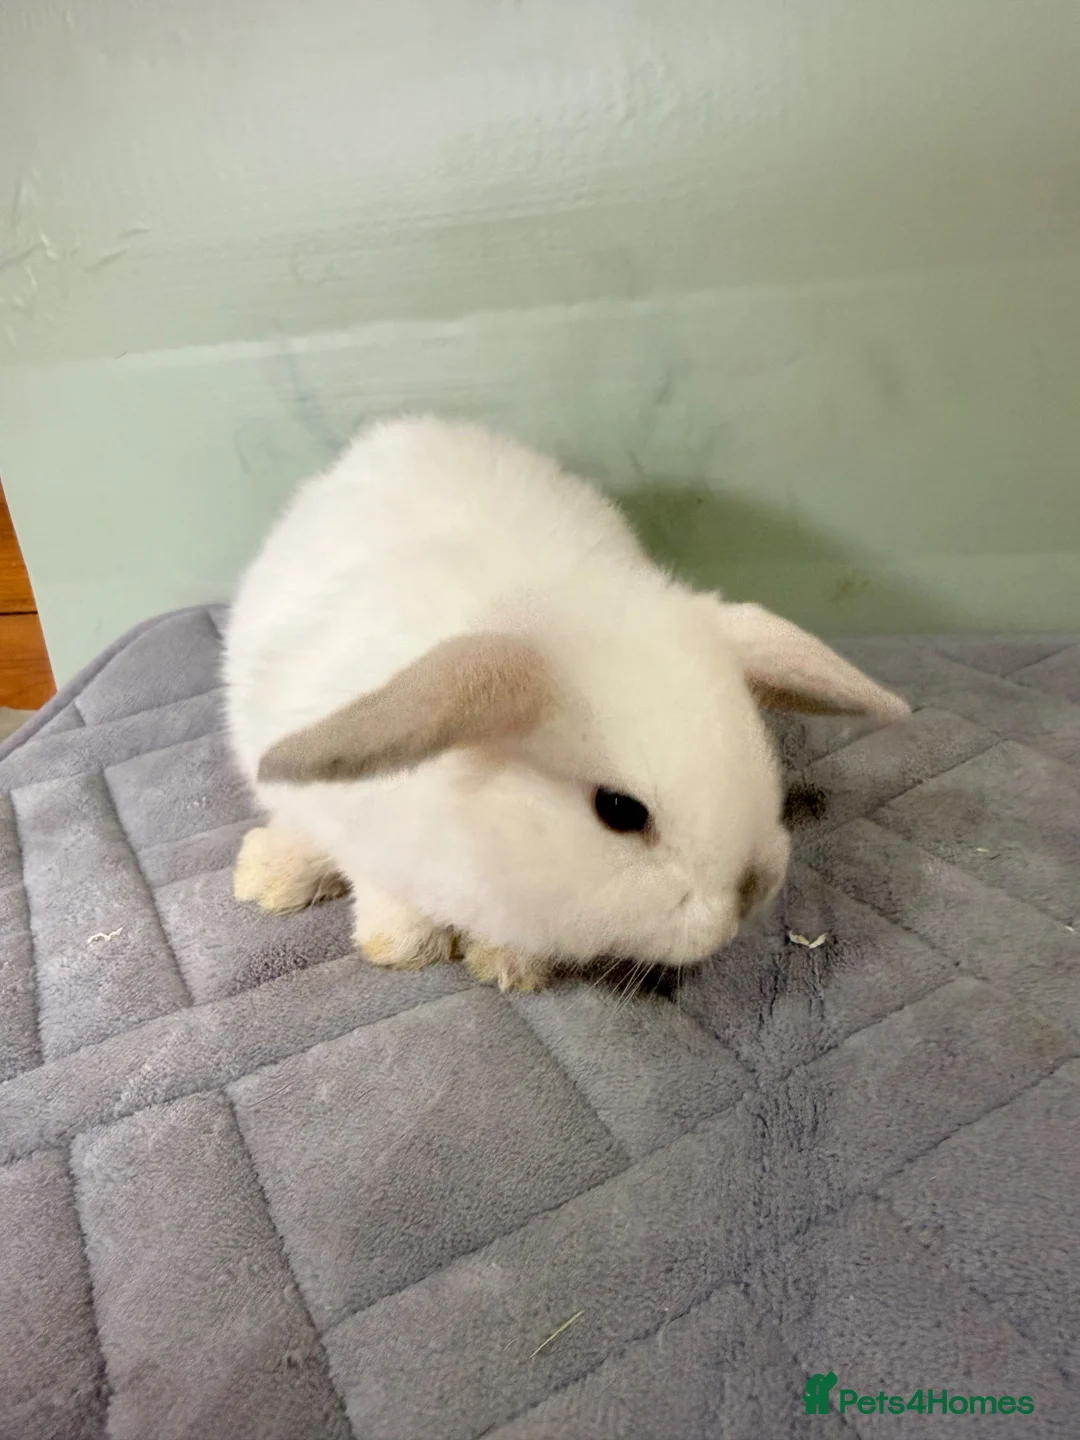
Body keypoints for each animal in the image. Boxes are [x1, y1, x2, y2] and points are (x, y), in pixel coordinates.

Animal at [223, 415, 909, 992]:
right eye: (619, 811)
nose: (749, 894)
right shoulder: (361, 828)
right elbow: (380, 885)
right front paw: (405, 945)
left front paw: (508, 964)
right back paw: (270, 875)